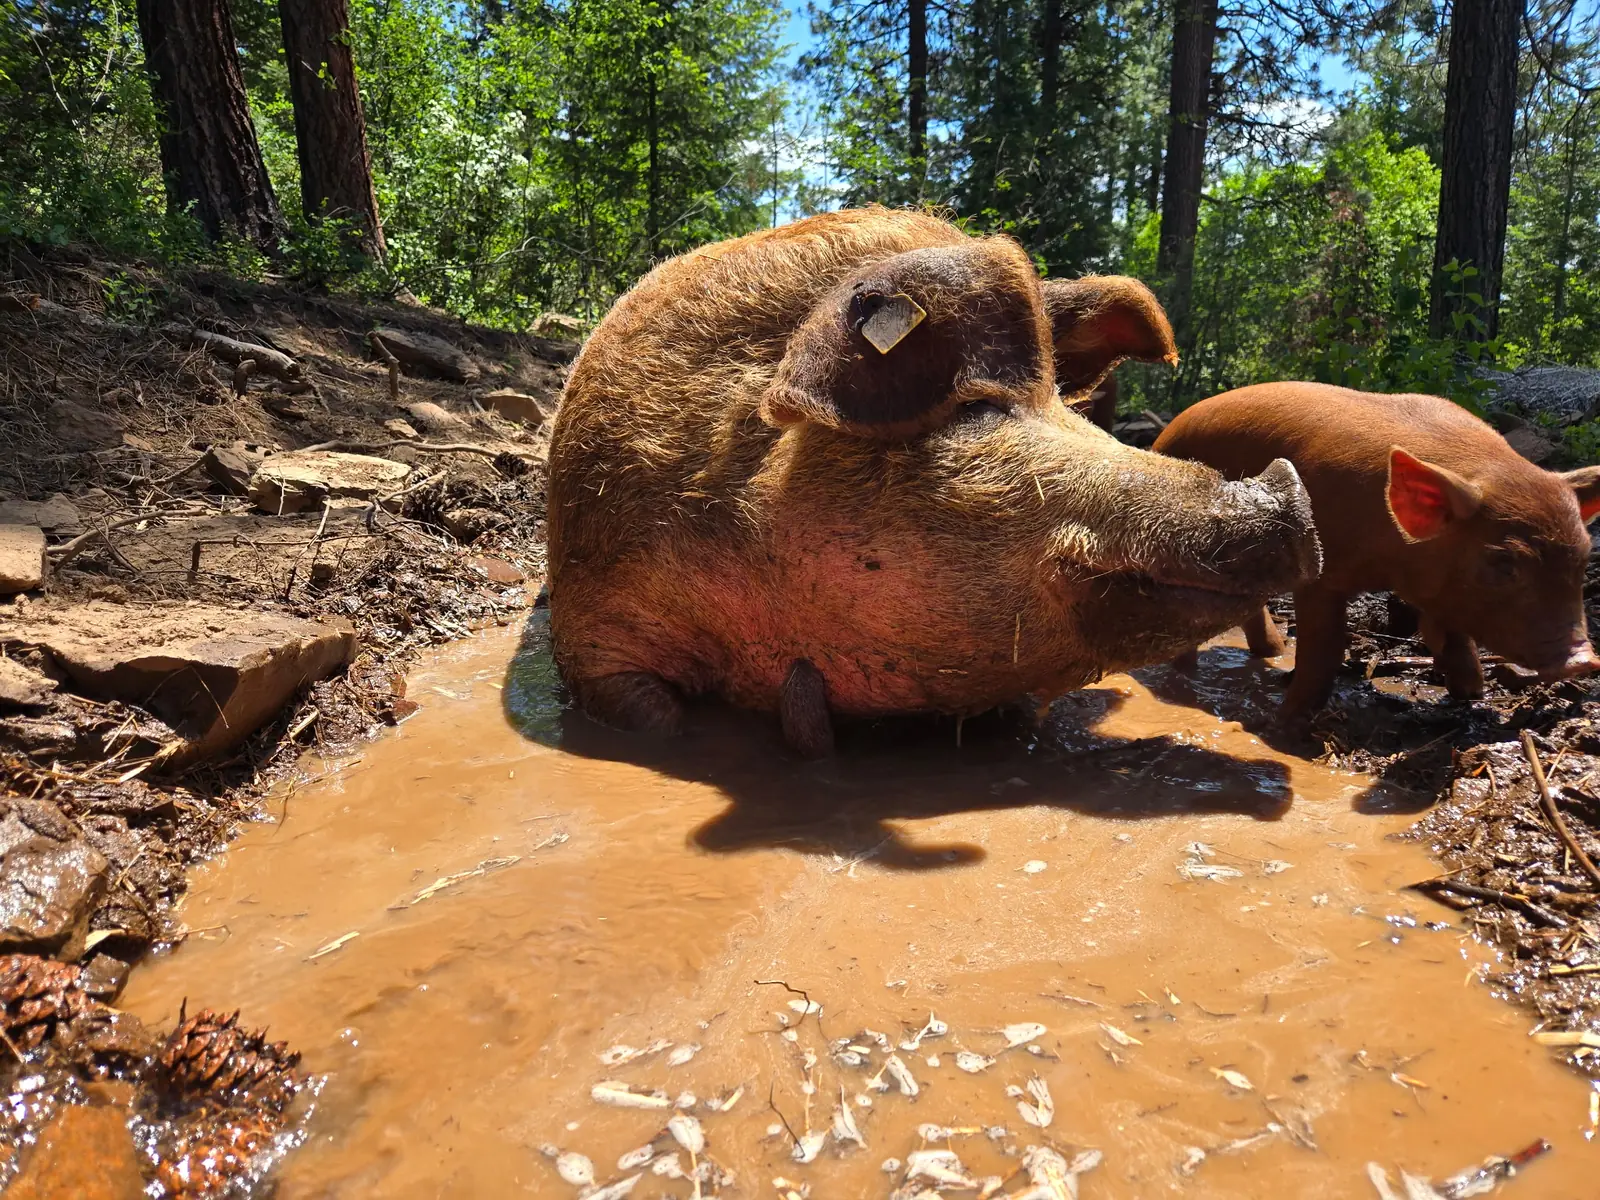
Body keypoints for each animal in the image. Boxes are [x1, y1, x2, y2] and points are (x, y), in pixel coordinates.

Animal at [1153, 382, 1600, 724]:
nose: (1584, 660)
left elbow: (1453, 630)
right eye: (1505, 563)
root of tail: (1162, 436)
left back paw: (1272, 654)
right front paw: (1287, 720)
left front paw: (1470, 692)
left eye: (1582, 559)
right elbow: (1324, 644)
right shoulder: (1321, 573)